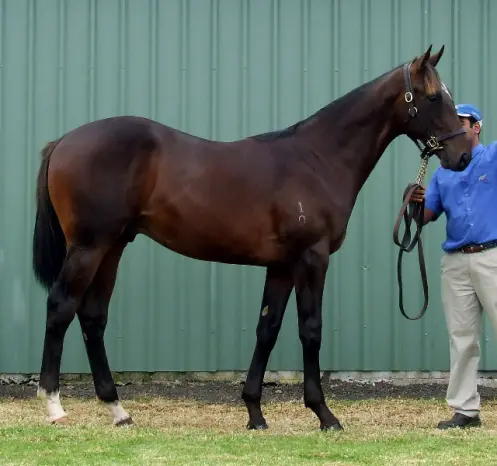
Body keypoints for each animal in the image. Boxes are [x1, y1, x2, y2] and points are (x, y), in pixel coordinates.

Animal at [32, 44, 471, 431]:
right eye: (435, 96)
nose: (463, 154)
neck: (317, 159)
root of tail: (62, 142)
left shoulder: (281, 265)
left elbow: (267, 329)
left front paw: (255, 413)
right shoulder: (311, 258)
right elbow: (310, 328)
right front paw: (324, 414)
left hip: (113, 246)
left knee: (93, 317)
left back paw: (117, 410)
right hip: (88, 247)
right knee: (60, 306)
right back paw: (54, 407)